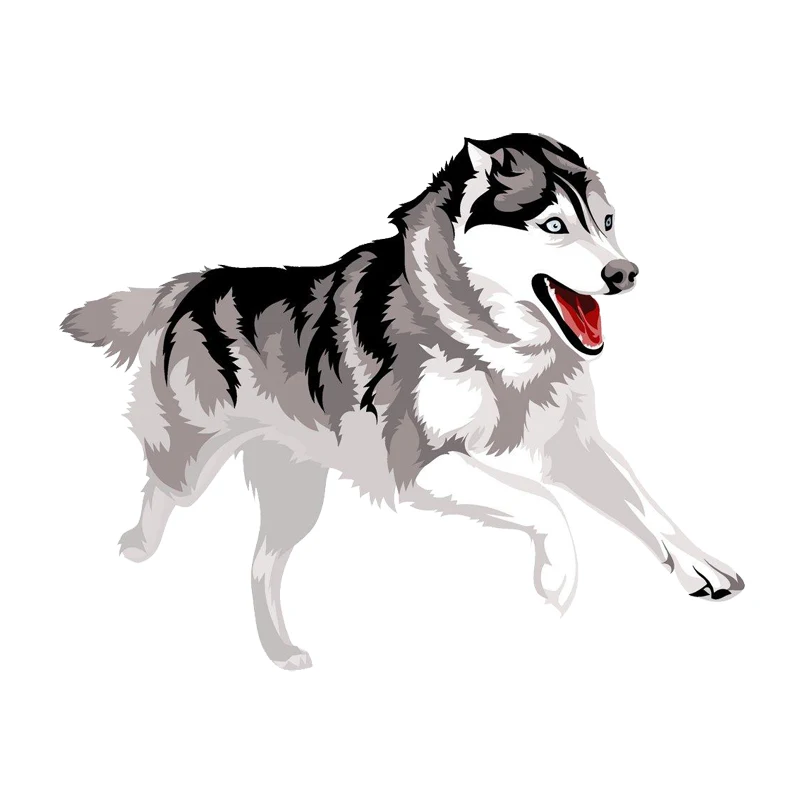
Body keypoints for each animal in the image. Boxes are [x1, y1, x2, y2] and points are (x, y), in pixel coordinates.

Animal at [62, 134, 743, 669]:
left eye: (604, 222)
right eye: (553, 226)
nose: (624, 273)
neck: (489, 341)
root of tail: (190, 282)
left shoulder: (570, 443)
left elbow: (643, 502)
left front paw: (700, 565)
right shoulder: (413, 462)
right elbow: (545, 504)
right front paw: (559, 577)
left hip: (296, 498)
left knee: (258, 569)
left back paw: (280, 652)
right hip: (193, 462)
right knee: (160, 487)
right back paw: (137, 547)